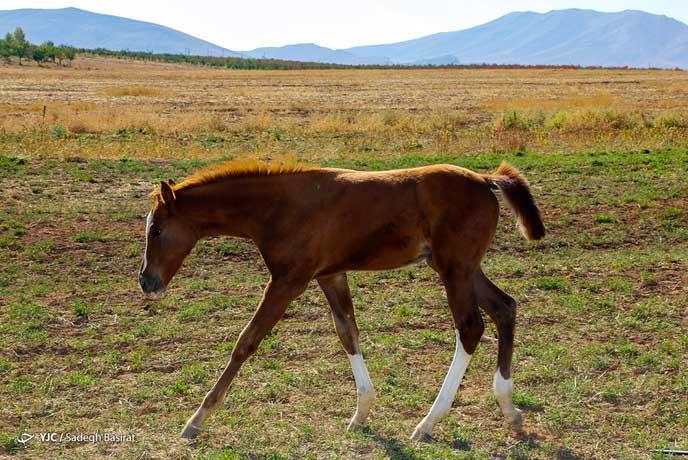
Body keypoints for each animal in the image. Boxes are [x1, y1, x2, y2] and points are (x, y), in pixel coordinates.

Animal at [138, 160, 544, 440]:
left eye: (156, 230)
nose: (146, 281)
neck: (279, 207)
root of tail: (486, 179)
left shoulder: (288, 281)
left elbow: (247, 341)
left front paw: (197, 419)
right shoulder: (329, 275)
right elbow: (348, 333)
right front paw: (361, 411)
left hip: (454, 269)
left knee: (471, 327)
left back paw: (428, 422)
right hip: (463, 267)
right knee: (505, 309)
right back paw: (509, 409)